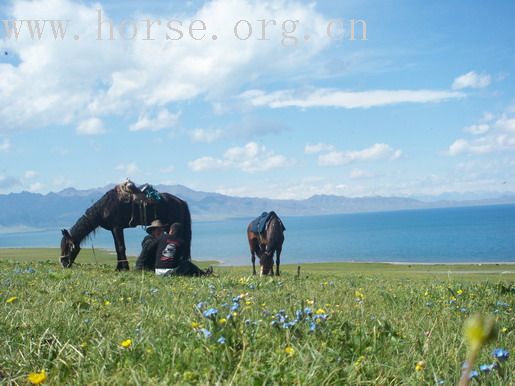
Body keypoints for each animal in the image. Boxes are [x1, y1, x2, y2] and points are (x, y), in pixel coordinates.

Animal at [59, 185, 191, 270]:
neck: (105, 207)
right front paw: (119, 267)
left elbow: (121, 247)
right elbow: (118, 248)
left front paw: (124, 268)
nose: (63, 263)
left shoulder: (117, 228)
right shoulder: (114, 229)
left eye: (67, 246)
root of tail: (181, 201)